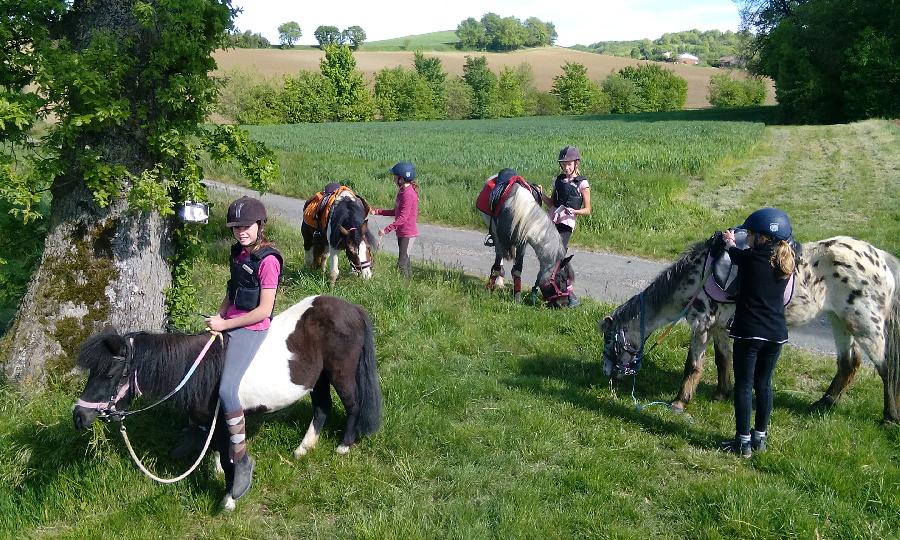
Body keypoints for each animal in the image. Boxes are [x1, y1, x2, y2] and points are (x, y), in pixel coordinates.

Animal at [70, 296, 380, 510]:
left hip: (340, 373)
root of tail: (352, 309)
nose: (79, 416)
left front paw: (231, 496)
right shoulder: (213, 420)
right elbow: (219, 449)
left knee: (352, 405)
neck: (197, 368)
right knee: (322, 407)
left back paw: (344, 445)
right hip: (319, 378)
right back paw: (304, 448)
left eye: (110, 373)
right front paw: (217, 468)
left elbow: (233, 458)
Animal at [478, 174, 576, 308]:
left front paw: (517, 299)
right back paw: (499, 281)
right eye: (562, 278)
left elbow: (517, 269)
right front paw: (488, 291)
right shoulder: (498, 238)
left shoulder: (522, 242)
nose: (564, 303)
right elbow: (496, 267)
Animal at [596, 234, 900, 424]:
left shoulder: (701, 325)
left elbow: (693, 366)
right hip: (840, 322)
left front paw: (679, 402)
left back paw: (889, 418)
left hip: (866, 327)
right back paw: (822, 404)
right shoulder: (719, 328)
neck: (700, 276)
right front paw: (722, 393)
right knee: (848, 365)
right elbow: (722, 360)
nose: (608, 375)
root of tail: (881, 259)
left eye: (610, 341)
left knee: (886, 369)